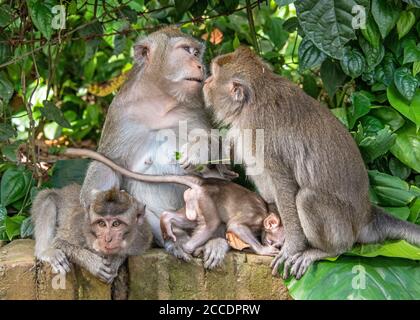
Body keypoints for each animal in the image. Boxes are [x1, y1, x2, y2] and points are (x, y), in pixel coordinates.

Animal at [65, 148, 286, 258]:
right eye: (275, 242)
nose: (276, 245)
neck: (267, 211)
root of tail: (202, 182)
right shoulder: (254, 218)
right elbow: (236, 226)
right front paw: (264, 250)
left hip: (194, 200)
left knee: (189, 219)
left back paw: (168, 223)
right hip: (205, 199)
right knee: (212, 223)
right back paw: (189, 248)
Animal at [203, 46, 420, 278]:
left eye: (214, 75)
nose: (206, 81)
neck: (255, 96)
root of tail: (367, 215)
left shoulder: (259, 132)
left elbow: (284, 184)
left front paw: (291, 248)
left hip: (343, 228)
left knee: (307, 199)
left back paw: (325, 251)